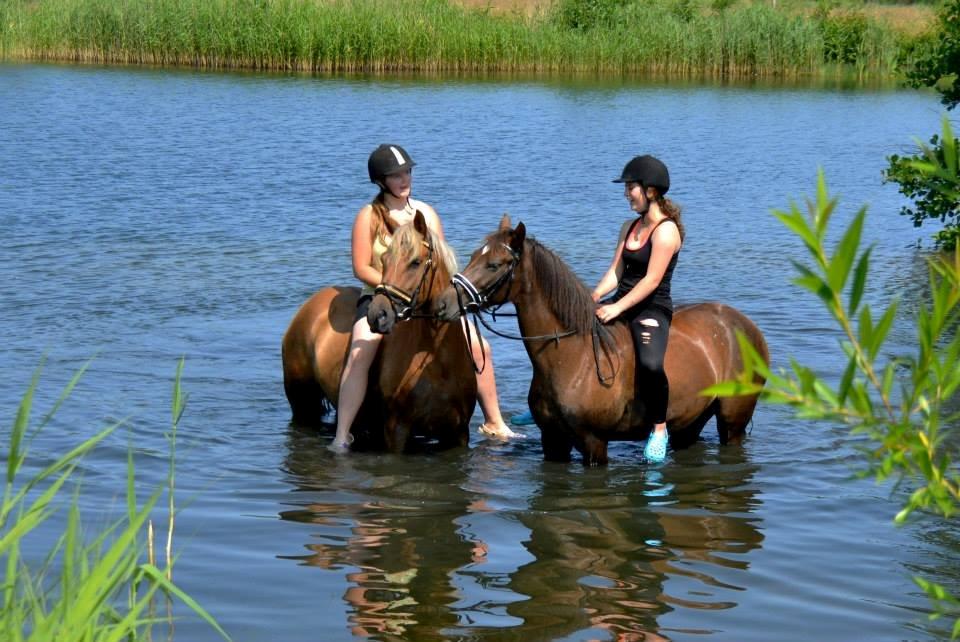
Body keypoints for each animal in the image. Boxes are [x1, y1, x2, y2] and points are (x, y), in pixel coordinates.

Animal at [434, 215, 770, 466]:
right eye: (474, 257)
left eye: (494, 265)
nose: (442, 304)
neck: (573, 356)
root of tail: (746, 326)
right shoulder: (553, 441)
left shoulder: (594, 443)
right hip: (692, 420)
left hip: (732, 422)